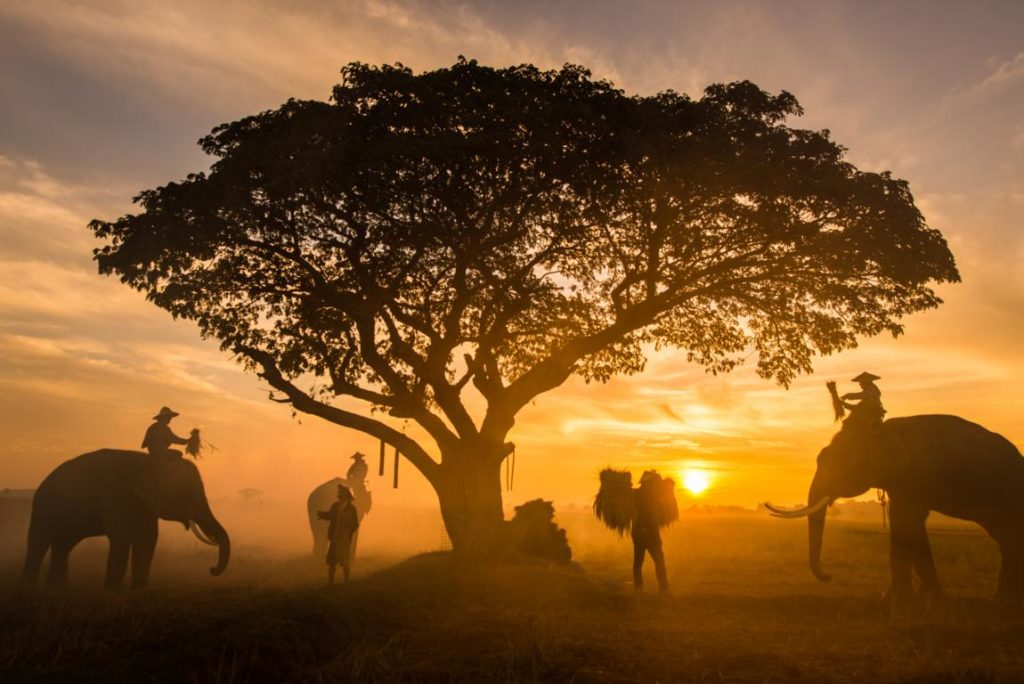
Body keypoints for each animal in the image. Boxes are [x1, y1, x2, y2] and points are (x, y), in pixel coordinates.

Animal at [20, 448, 230, 589]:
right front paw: (111, 593)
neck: (149, 461)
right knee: (40, 542)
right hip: (44, 508)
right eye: (186, 494)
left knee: (64, 545)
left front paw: (138, 591)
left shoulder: (145, 506)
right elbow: (122, 537)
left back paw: (57, 589)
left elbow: (147, 539)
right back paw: (29, 590)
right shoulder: (116, 497)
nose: (212, 569)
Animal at [770, 413, 1024, 606]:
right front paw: (927, 597)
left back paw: (1003, 601)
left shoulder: (914, 477)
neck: (879, 429)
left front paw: (901, 600)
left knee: (1009, 538)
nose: (829, 576)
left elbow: (906, 521)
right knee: (1006, 539)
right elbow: (908, 524)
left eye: (835, 463)